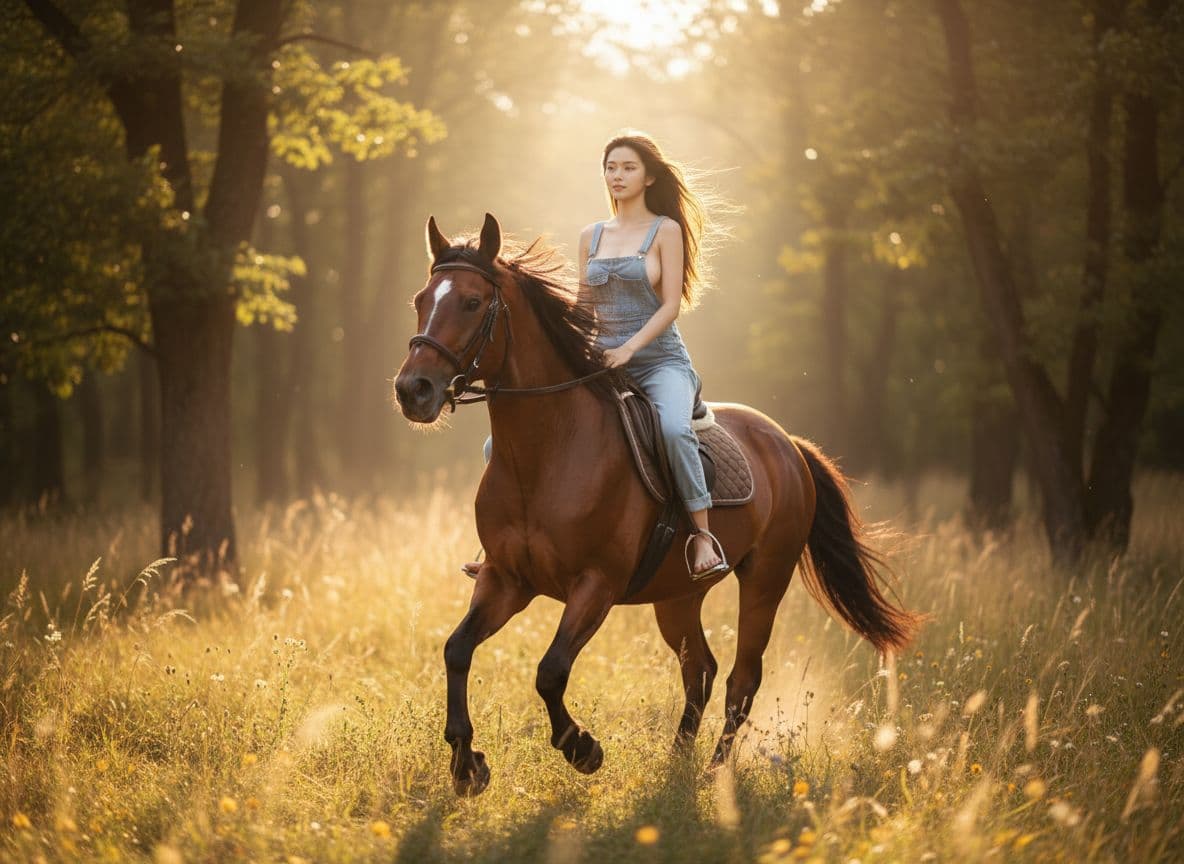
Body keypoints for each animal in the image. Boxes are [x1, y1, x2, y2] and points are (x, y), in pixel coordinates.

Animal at [393, 213, 922, 796]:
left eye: (470, 302)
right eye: (421, 299)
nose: (412, 390)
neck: (550, 450)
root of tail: (788, 443)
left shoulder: (596, 585)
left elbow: (550, 672)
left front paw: (583, 749)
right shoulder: (506, 579)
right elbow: (457, 650)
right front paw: (468, 764)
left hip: (765, 579)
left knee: (741, 678)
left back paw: (713, 774)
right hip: (678, 596)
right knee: (701, 671)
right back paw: (677, 762)